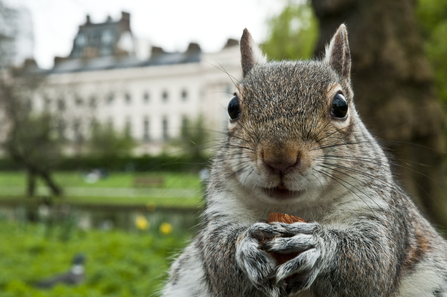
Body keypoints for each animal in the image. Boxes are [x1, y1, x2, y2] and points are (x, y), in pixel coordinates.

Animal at [163, 25, 447, 296]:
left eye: (341, 106)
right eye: (233, 107)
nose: (279, 158)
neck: (296, 208)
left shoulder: (376, 211)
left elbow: (372, 264)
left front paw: (318, 245)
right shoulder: (223, 208)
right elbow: (219, 262)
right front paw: (246, 244)